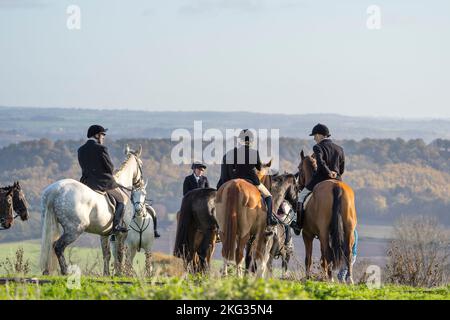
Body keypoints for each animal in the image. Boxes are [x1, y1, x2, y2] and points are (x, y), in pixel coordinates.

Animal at [40, 145, 143, 276]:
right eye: (141, 164)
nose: (140, 184)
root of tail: (55, 190)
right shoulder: (122, 233)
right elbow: (119, 254)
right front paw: (119, 275)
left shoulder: (104, 233)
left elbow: (107, 254)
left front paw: (106, 275)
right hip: (75, 229)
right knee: (58, 246)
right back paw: (66, 272)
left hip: (51, 223)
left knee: (49, 245)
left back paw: (47, 271)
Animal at [298, 150, 356, 282]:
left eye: (299, 168)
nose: (298, 186)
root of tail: (336, 186)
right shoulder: (321, 236)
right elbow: (322, 258)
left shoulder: (307, 234)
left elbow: (309, 258)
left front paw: (308, 277)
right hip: (348, 229)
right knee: (348, 253)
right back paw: (349, 279)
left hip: (324, 231)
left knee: (328, 252)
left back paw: (330, 278)